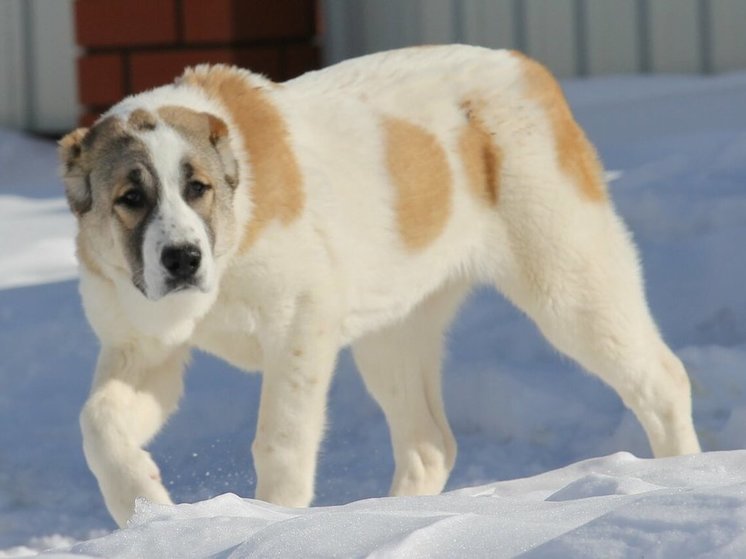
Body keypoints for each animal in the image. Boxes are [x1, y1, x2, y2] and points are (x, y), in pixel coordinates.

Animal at [58, 46, 696, 528]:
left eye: (198, 188)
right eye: (130, 198)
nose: (183, 259)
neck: (231, 238)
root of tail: (525, 67)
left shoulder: (299, 322)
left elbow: (280, 440)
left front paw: (273, 521)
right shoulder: (144, 349)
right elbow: (97, 423)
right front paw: (144, 502)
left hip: (569, 279)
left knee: (662, 380)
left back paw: (678, 480)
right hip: (393, 332)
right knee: (429, 443)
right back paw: (388, 519)